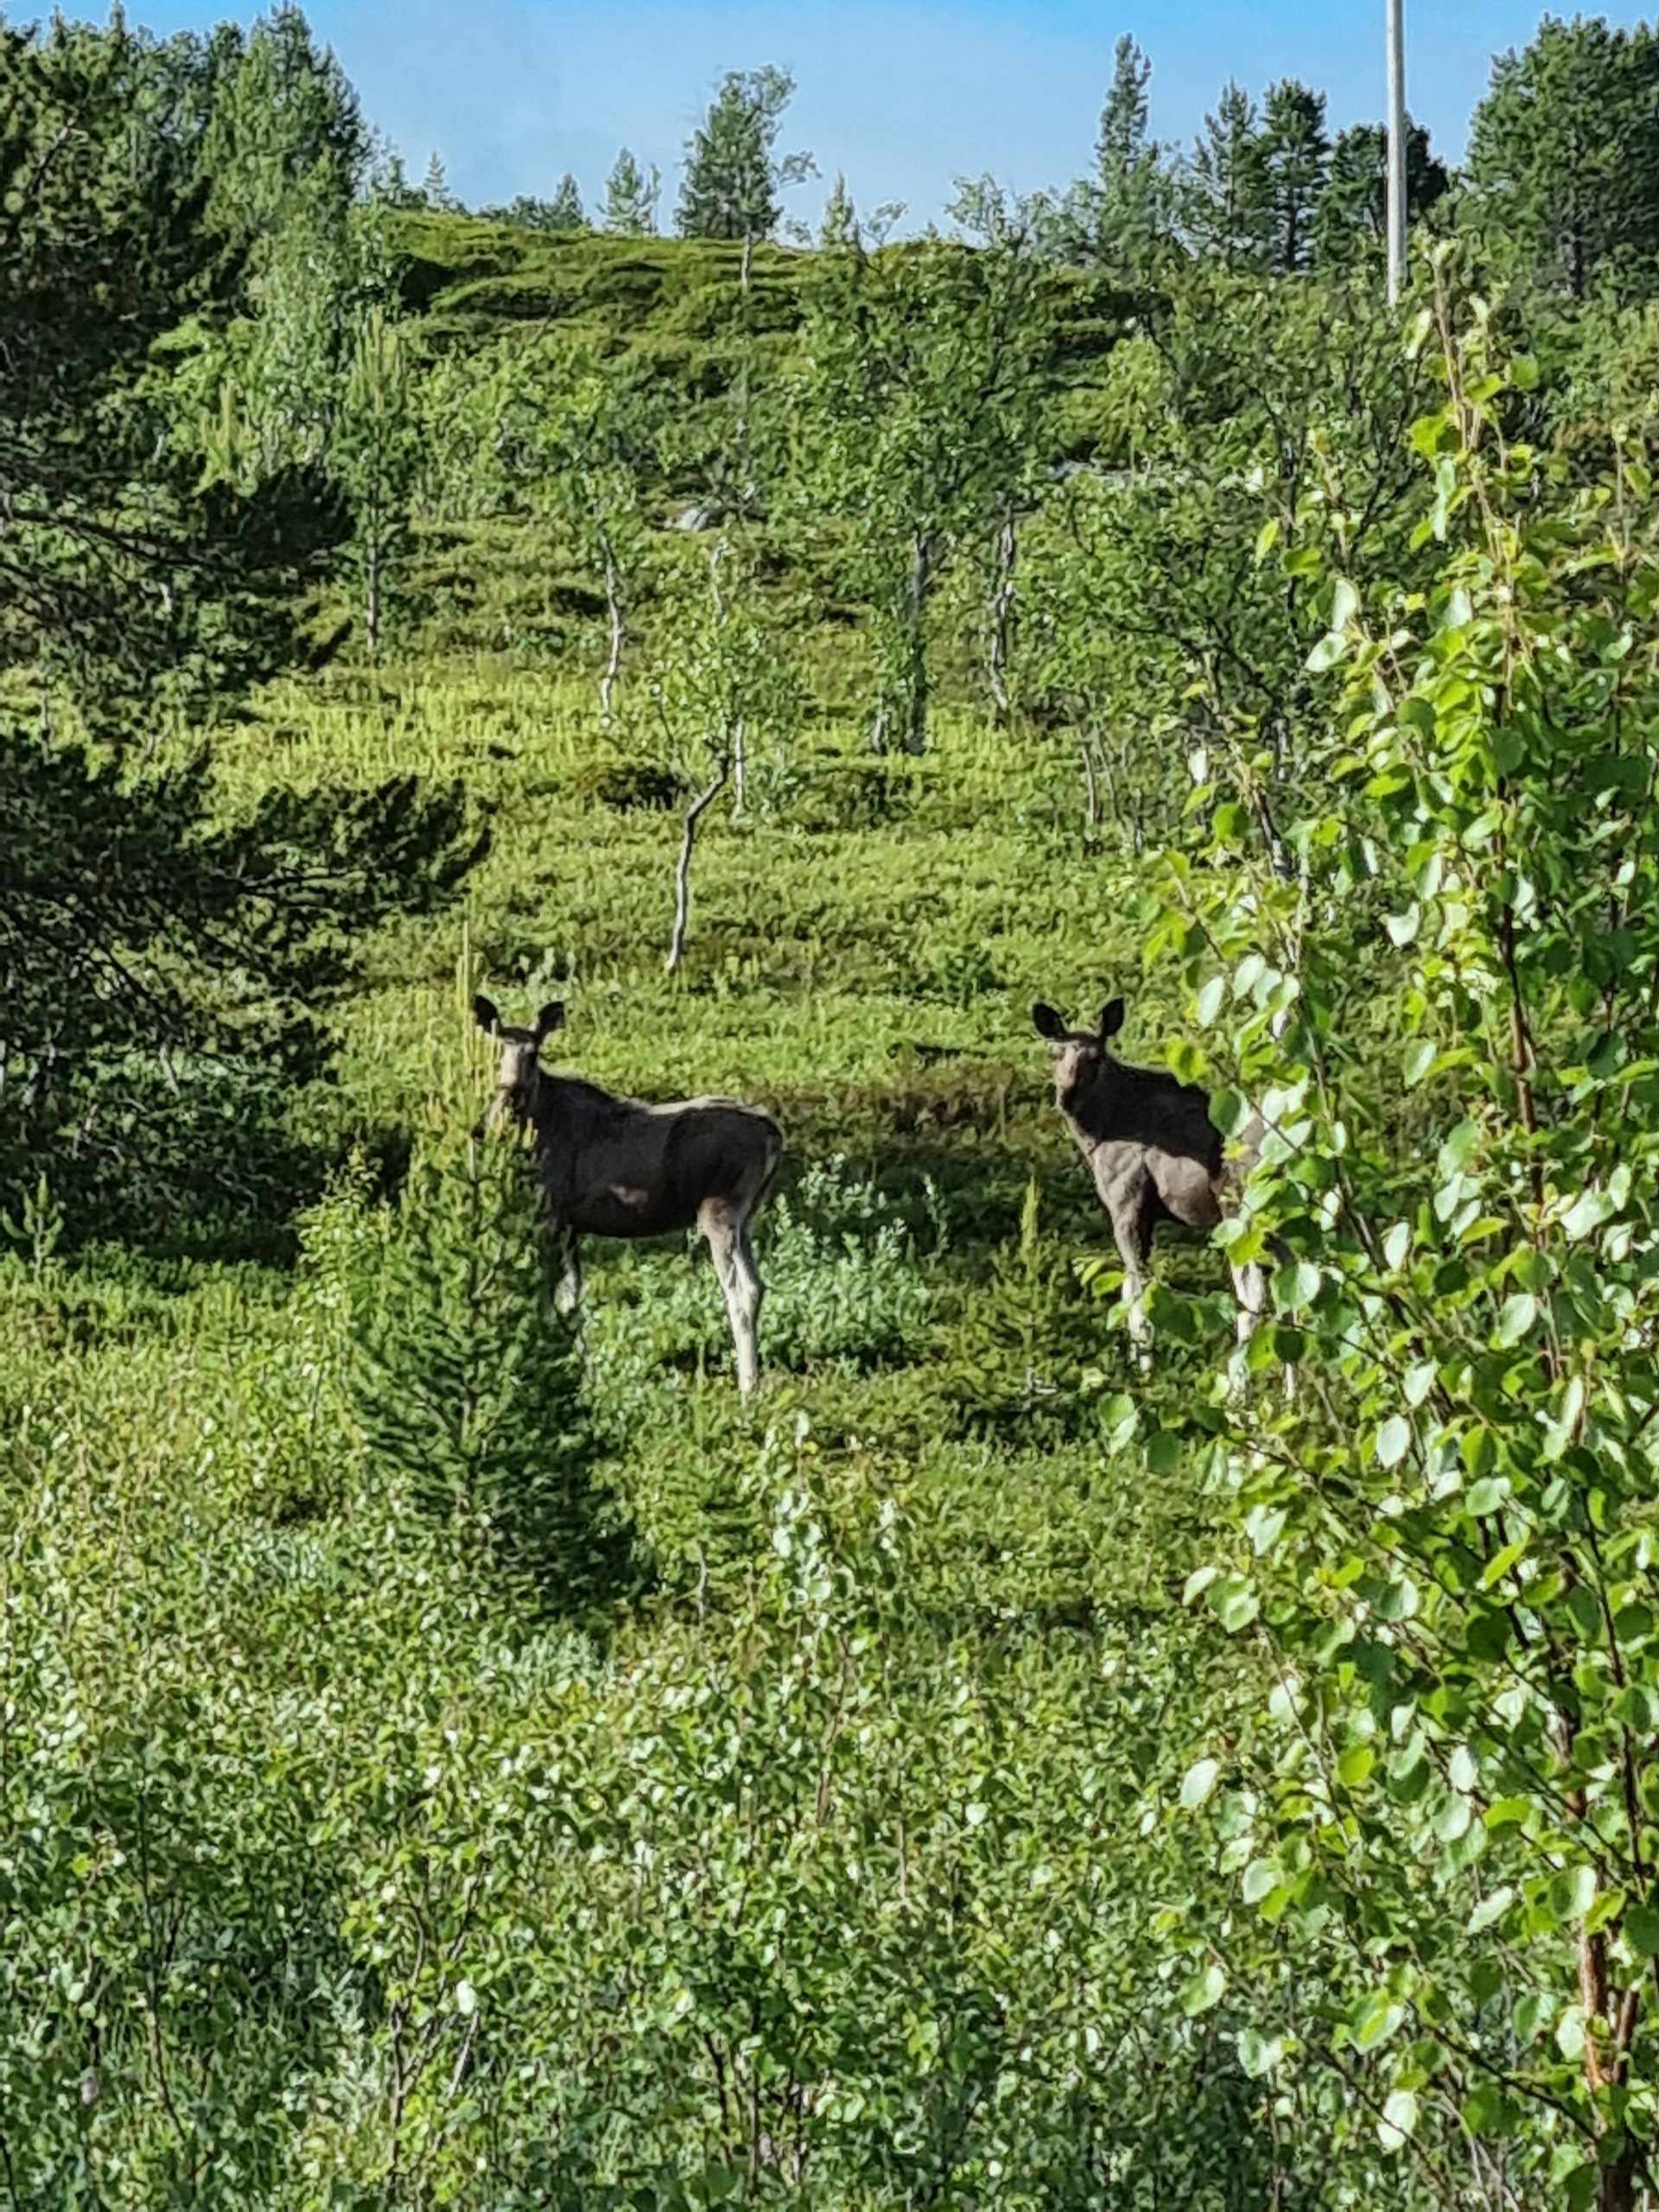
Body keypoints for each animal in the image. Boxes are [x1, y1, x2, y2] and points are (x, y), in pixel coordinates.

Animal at [473, 996, 783, 1395]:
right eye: (498, 1048)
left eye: (534, 1052)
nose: (511, 1093)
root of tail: (775, 1134)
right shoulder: (571, 1224)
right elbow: (572, 1301)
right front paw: (584, 1377)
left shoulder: (551, 1214)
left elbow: (544, 1300)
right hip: (746, 1217)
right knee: (758, 1285)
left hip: (720, 1211)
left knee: (740, 1292)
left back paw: (748, 1386)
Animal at [1033, 995, 1267, 1367]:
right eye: (1055, 1053)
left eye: (1096, 1058)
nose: (1065, 1096)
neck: (1099, 1132)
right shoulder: (1149, 1217)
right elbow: (1131, 1287)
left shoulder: (1126, 1205)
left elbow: (1138, 1289)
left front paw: (1144, 1369)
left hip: (1239, 1214)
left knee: (1253, 1293)